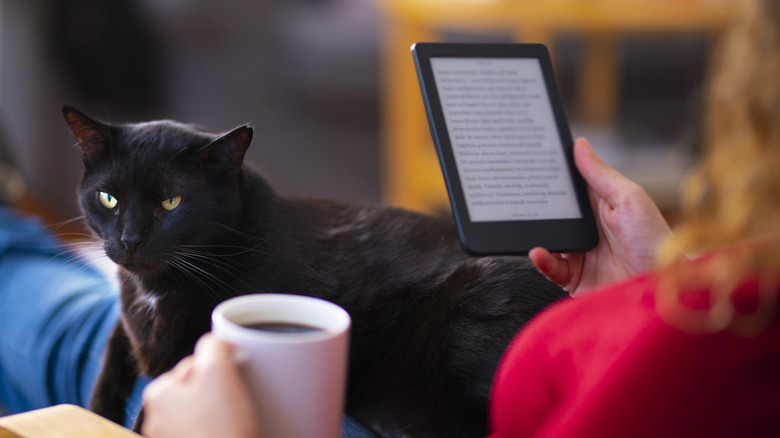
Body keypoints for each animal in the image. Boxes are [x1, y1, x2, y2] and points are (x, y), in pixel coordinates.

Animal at [65, 107, 568, 438]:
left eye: (171, 202)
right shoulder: (129, 321)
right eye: (108, 198)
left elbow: (162, 397)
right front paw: (98, 411)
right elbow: (111, 354)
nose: (130, 240)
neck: (155, 289)